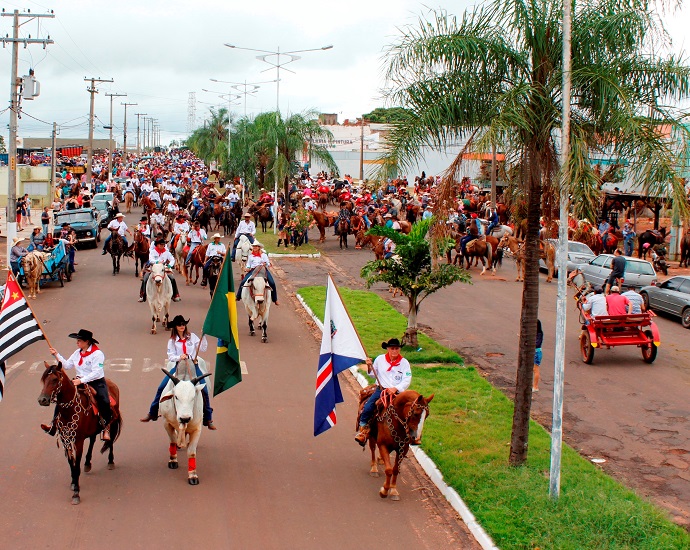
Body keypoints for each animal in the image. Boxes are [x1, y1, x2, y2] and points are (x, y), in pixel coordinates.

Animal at [37, 364, 121, 506]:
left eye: (54, 379)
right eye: (44, 379)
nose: (42, 400)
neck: (69, 410)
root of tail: (112, 383)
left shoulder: (78, 441)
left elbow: (76, 466)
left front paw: (76, 493)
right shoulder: (65, 440)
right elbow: (71, 463)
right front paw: (73, 482)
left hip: (112, 423)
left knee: (110, 441)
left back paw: (110, 461)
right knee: (92, 440)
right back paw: (87, 463)